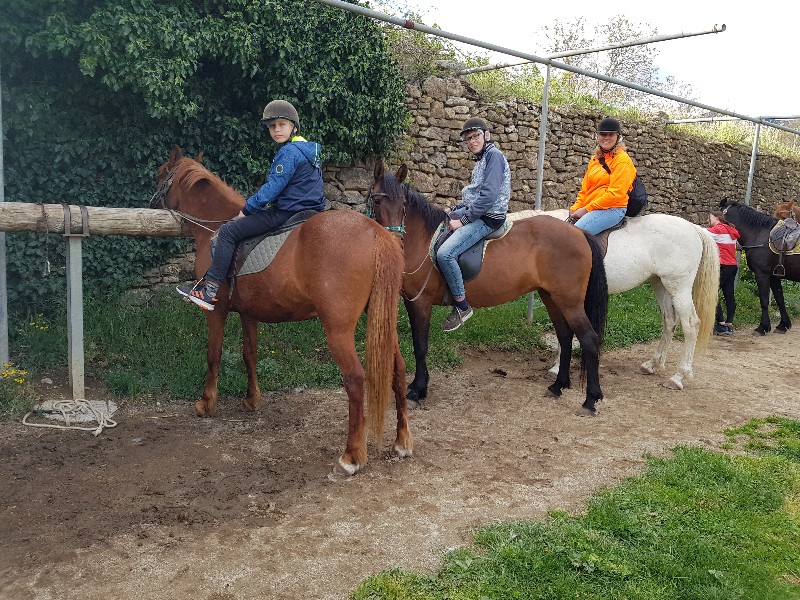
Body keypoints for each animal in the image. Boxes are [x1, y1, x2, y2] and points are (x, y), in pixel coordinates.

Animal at [149, 146, 412, 474]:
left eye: (160, 173)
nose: (150, 202)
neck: (217, 226)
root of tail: (378, 234)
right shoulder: (248, 313)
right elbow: (249, 353)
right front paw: (251, 400)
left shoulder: (216, 312)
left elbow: (214, 355)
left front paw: (206, 403)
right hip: (383, 322)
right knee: (398, 370)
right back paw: (402, 441)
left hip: (339, 330)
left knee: (354, 379)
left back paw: (351, 456)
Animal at [372, 164, 608, 418]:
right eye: (376, 200)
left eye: (403, 203)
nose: (395, 241)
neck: (423, 241)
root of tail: (579, 233)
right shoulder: (411, 302)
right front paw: (419, 387)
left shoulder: (420, 303)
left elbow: (420, 346)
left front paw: (417, 391)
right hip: (552, 298)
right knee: (565, 336)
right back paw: (558, 386)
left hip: (570, 302)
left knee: (589, 340)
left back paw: (590, 400)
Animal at [512, 209, 720, 392]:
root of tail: (693, 228)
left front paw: (557, 368)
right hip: (660, 284)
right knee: (669, 320)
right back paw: (652, 364)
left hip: (678, 286)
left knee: (691, 325)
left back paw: (678, 377)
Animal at [720, 199, 796, 336]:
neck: (760, 235)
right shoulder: (774, 276)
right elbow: (780, 299)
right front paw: (783, 325)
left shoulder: (762, 274)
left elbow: (764, 300)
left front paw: (763, 327)